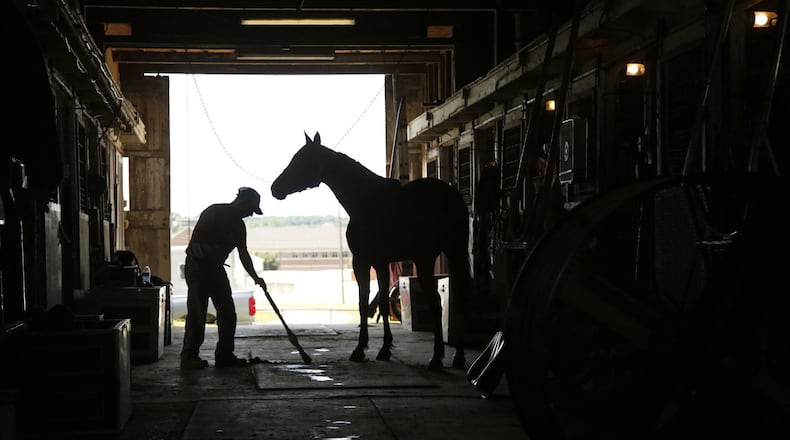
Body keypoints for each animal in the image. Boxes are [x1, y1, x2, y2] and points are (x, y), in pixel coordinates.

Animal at [271, 132, 471, 370]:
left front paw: (360, 349)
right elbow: (382, 303)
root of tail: (451, 197)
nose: (275, 188)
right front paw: (385, 349)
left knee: (436, 303)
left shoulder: (362, 261)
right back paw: (458, 356)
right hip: (455, 252)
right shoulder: (381, 262)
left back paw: (437, 358)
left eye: (301, 160)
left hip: (425, 259)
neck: (365, 199)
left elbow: (362, 303)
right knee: (459, 297)